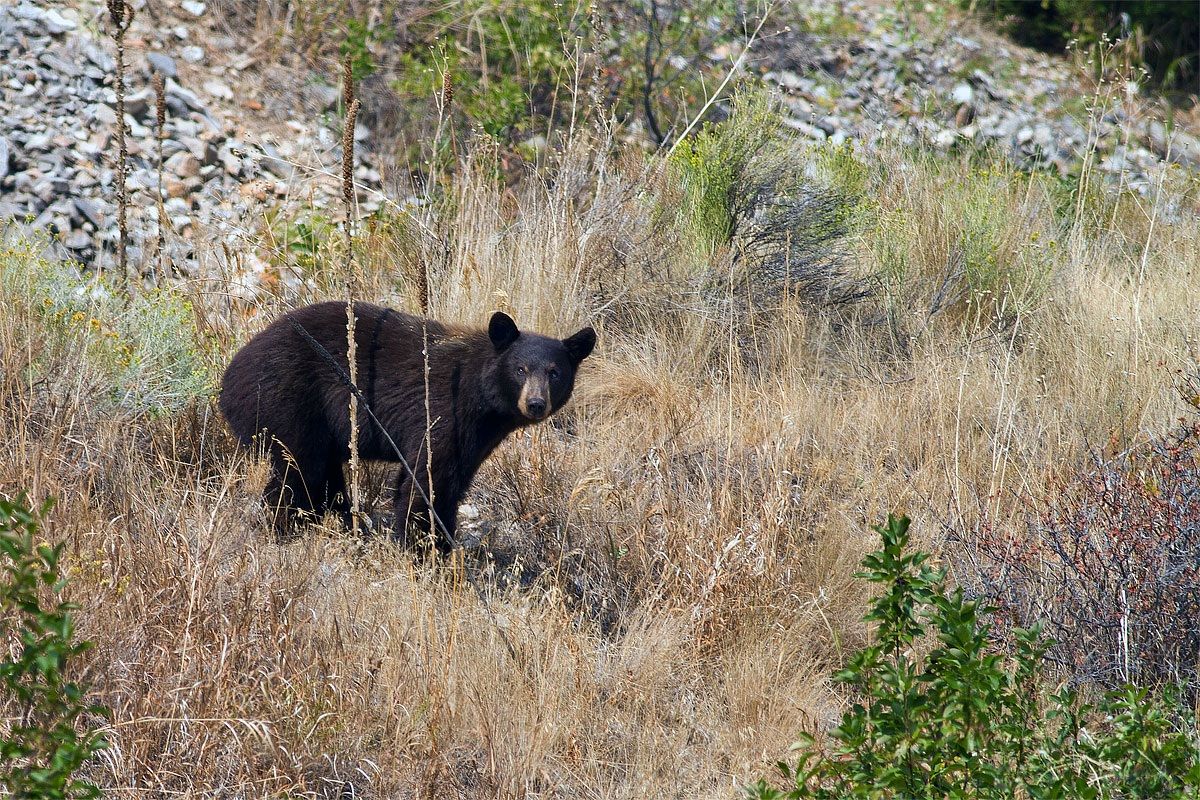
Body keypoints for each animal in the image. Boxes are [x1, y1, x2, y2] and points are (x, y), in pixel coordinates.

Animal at [219, 301, 596, 552]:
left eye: (554, 372)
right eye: (520, 369)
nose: (535, 404)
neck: (481, 398)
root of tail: (228, 377)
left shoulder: (474, 438)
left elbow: (443, 480)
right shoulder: (443, 411)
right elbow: (428, 478)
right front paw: (423, 547)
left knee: (323, 478)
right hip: (288, 402)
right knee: (298, 473)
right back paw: (282, 528)